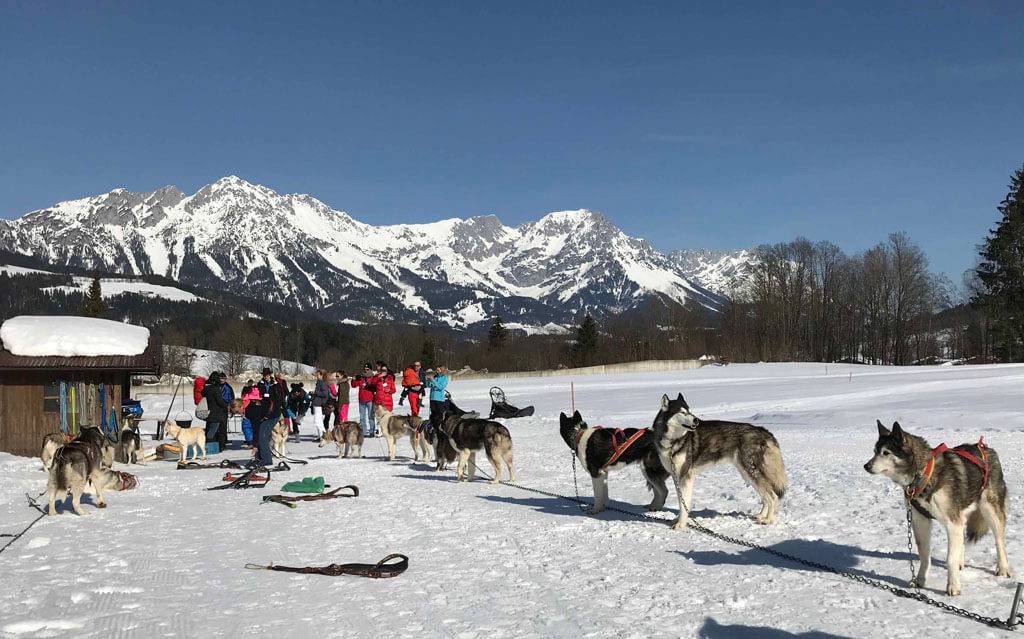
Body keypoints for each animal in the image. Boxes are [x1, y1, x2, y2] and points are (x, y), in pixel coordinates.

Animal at [651, 395, 786, 528]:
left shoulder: (685, 476)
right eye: (682, 412)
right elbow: (681, 501)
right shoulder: (676, 476)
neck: (673, 441)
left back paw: (768, 520)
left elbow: (684, 503)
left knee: (773, 497)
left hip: (751, 472)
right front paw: (677, 520)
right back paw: (761, 515)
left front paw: (681, 524)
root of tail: (763, 430)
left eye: (690, 411)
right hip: (747, 474)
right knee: (766, 497)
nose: (696, 420)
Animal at [860, 421, 1011, 598]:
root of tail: (985, 448)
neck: (922, 474)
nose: (866, 466)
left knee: (999, 540)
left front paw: (953, 586)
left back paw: (1002, 568)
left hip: (990, 510)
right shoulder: (920, 521)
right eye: (875, 451)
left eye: (886, 452)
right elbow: (924, 554)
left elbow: (950, 559)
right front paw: (920, 579)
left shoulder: (951, 522)